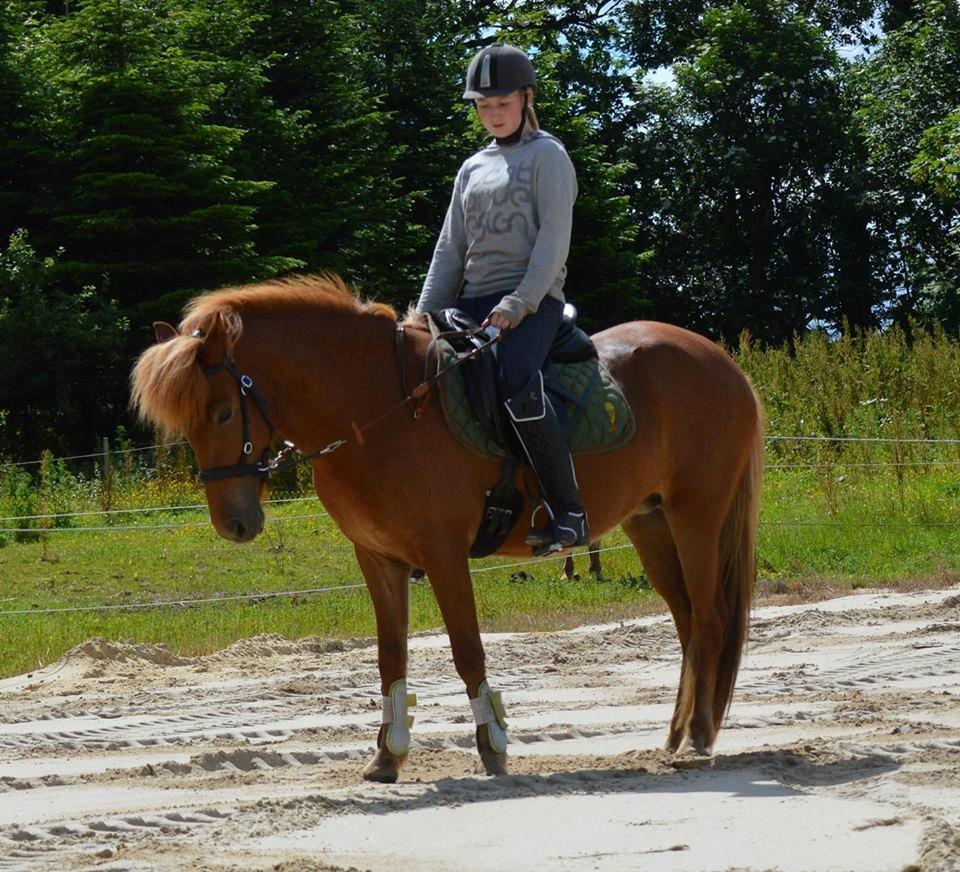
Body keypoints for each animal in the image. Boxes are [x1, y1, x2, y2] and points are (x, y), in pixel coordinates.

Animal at [131, 276, 764, 780]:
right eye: (186, 425)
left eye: (221, 413)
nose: (234, 523)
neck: (375, 412)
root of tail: (720, 360)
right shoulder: (378, 560)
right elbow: (390, 658)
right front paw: (387, 756)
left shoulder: (443, 555)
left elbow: (467, 651)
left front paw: (494, 747)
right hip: (650, 521)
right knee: (686, 619)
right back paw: (676, 733)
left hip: (696, 513)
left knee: (709, 615)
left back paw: (700, 736)